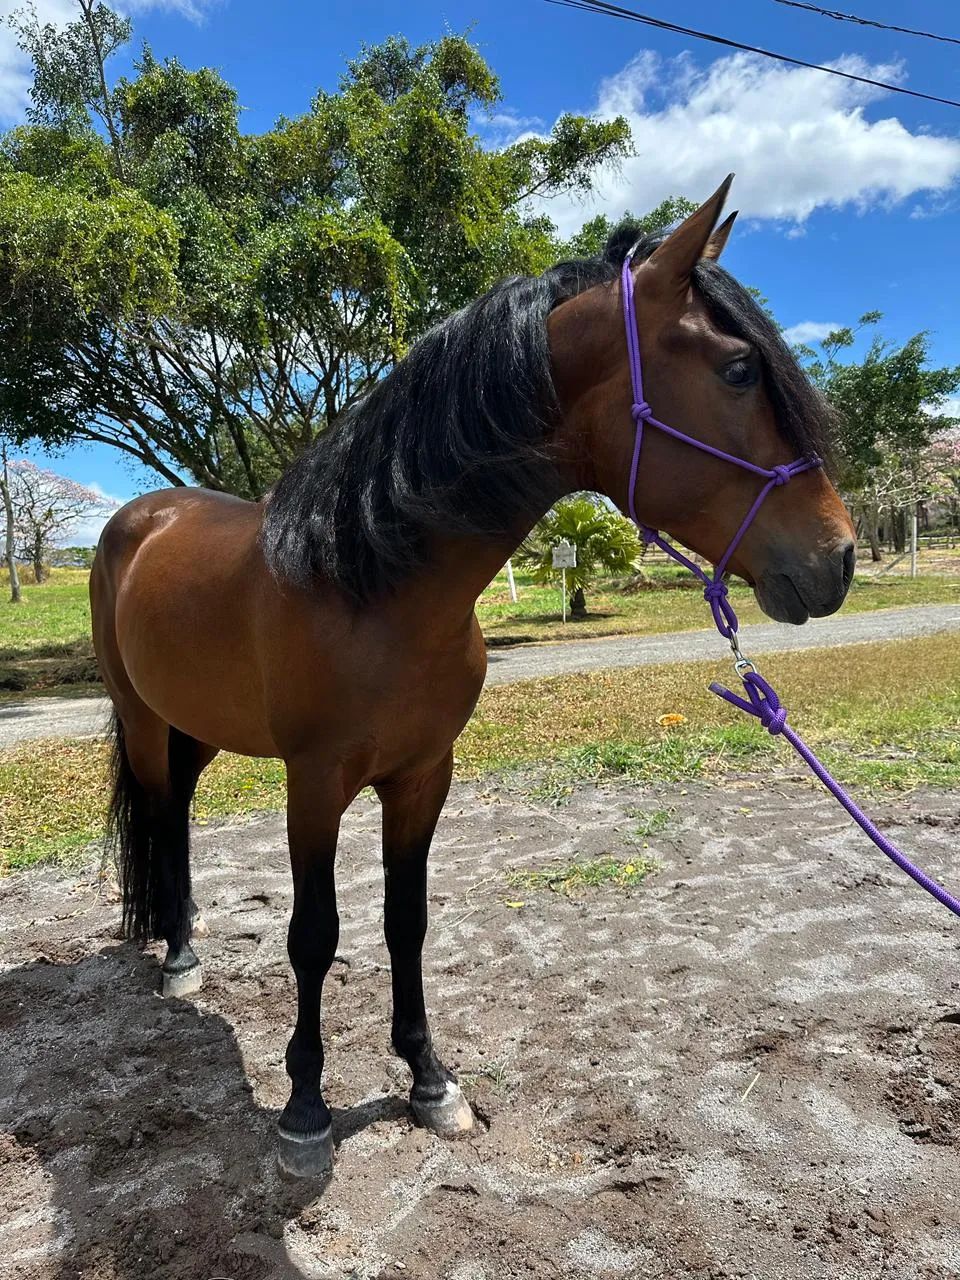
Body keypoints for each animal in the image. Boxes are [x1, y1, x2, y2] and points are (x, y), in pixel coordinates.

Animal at [90, 176, 856, 1178]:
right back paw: (177, 959)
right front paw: (305, 1106)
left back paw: (185, 941)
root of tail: (141, 517)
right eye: (736, 370)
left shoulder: (423, 776)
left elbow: (405, 921)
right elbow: (314, 934)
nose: (839, 558)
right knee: (161, 811)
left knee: (177, 808)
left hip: (203, 726)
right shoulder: (314, 784)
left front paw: (429, 1079)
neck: (368, 581)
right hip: (145, 719)